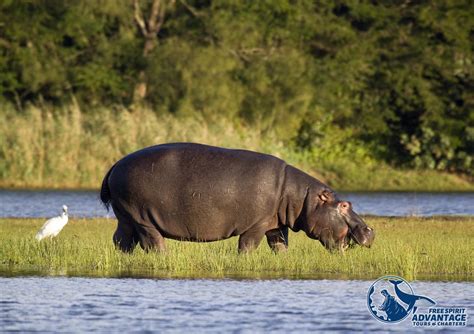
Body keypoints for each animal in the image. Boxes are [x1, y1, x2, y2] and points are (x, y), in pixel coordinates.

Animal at [100, 143, 374, 253]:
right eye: (344, 205)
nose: (370, 230)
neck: (301, 197)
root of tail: (114, 165)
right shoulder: (256, 225)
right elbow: (248, 246)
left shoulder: (275, 225)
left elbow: (280, 246)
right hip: (142, 218)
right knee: (153, 243)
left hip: (125, 216)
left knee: (121, 241)